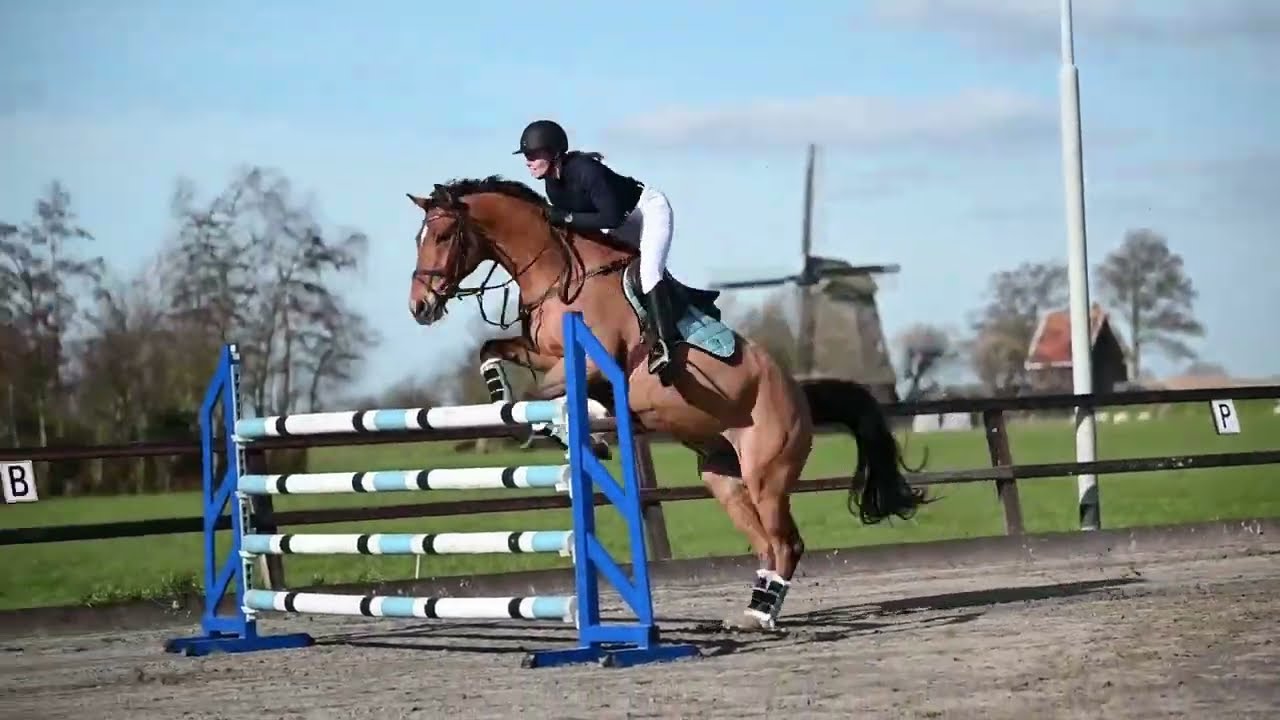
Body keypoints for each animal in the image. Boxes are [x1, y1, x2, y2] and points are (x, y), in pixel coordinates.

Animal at [405, 175, 930, 630]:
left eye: (445, 235)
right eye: (419, 237)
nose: (420, 307)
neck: (560, 273)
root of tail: (801, 394)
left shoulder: (592, 364)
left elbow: (547, 396)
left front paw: (581, 439)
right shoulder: (539, 351)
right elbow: (491, 351)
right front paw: (505, 399)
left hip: (768, 474)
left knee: (787, 544)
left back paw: (762, 616)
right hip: (722, 475)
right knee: (765, 544)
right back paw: (752, 610)